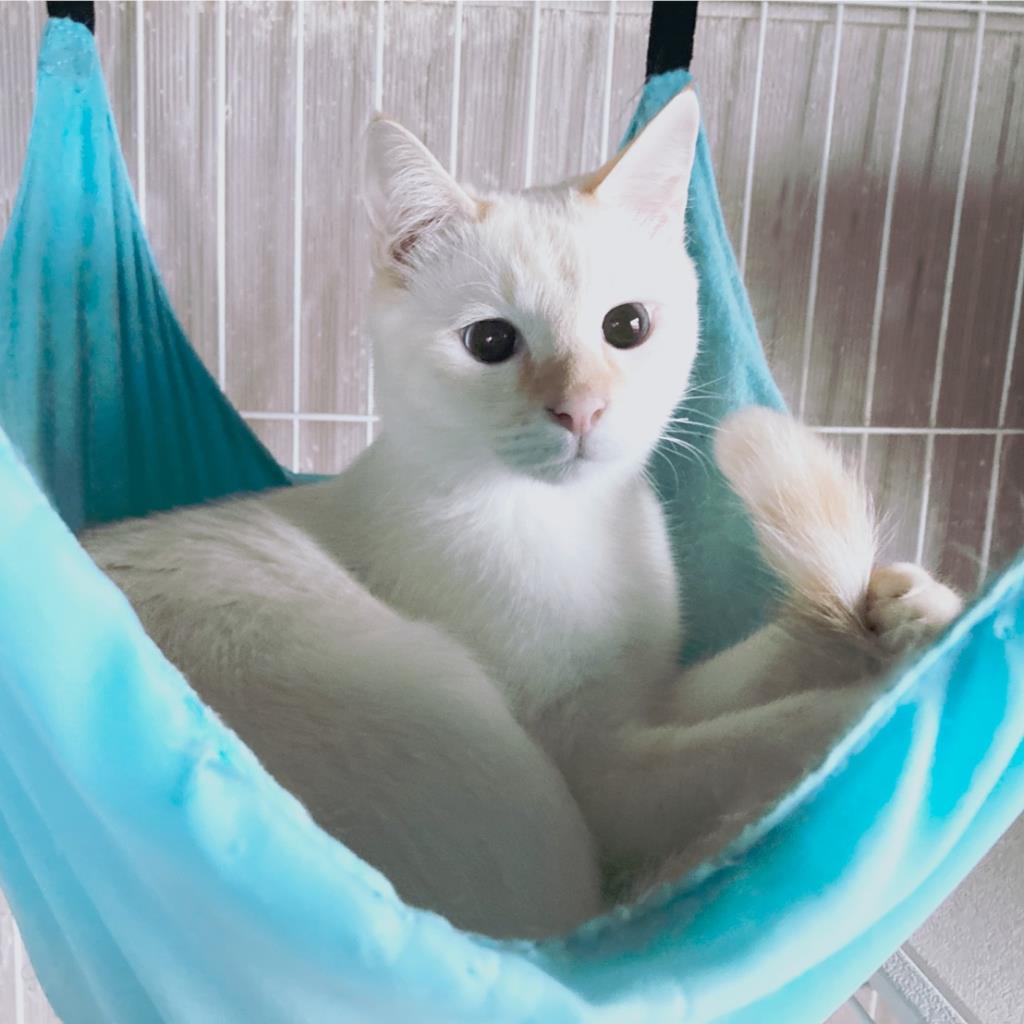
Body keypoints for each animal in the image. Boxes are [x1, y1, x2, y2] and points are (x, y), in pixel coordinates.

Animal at [83, 88, 962, 939]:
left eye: (627, 326)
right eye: (490, 341)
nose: (581, 410)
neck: (568, 526)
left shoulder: (649, 694)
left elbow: (774, 656)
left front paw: (906, 611)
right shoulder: (602, 770)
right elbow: (776, 735)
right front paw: (899, 694)